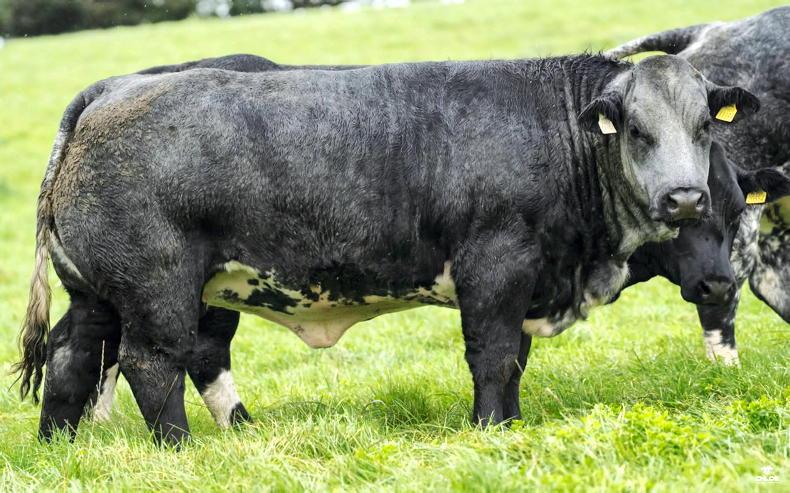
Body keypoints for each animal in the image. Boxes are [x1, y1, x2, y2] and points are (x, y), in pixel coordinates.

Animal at [16, 53, 758, 446]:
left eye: (703, 126)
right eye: (634, 129)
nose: (683, 198)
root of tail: (114, 88)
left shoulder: (523, 280)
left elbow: (514, 360)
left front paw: (511, 425)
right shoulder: (495, 267)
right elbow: (493, 358)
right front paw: (490, 427)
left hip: (99, 293)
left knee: (74, 354)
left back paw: (61, 444)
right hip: (158, 290)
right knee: (152, 363)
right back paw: (180, 447)